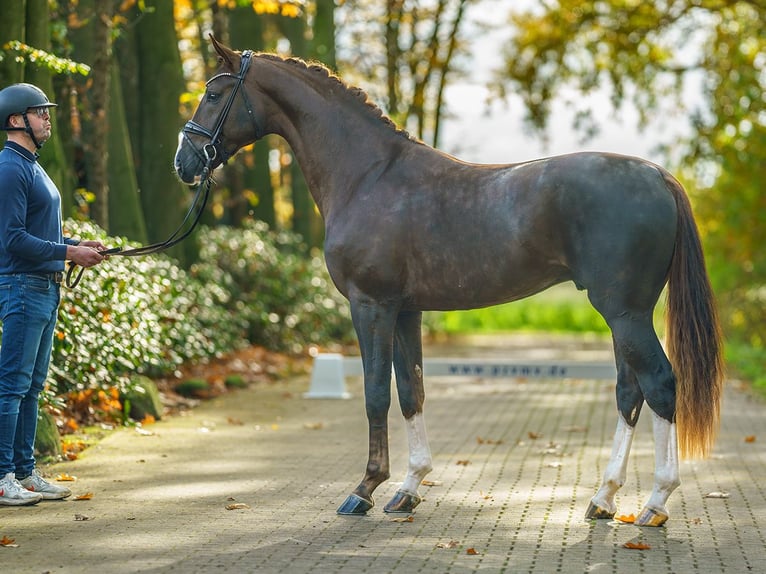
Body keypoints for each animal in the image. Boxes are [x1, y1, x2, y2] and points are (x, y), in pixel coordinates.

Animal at [176, 38, 728, 528]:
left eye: (214, 93)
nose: (185, 162)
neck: (369, 176)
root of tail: (657, 175)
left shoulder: (370, 305)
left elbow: (375, 393)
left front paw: (364, 490)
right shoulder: (405, 310)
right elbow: (410, 391)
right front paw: (408, 489)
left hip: (624, 312)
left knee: (660, 384)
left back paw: (655, 504)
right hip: (623, 314)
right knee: (629, 392)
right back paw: (604, 499)